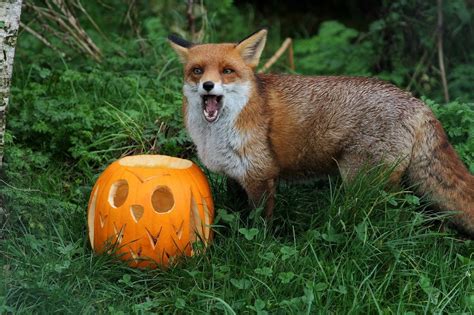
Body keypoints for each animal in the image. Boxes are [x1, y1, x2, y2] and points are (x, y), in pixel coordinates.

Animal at [169, 29, 474, 236]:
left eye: (227, 71)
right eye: (197, 71)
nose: (208, 85)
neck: (214, 135)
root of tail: (418, 103)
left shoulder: (261, 175)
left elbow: (260, 223)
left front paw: (256, 243)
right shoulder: (235, 174)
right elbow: (236, 210)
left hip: (364, 182)